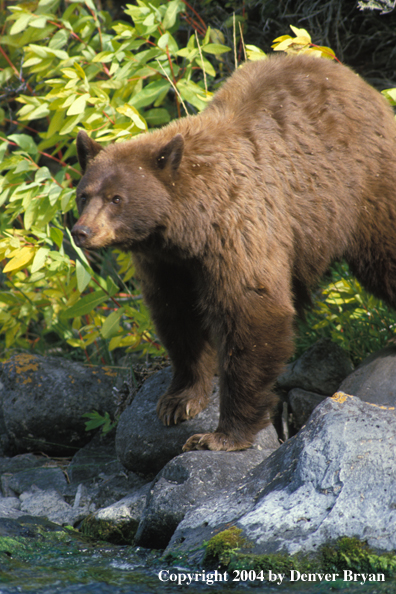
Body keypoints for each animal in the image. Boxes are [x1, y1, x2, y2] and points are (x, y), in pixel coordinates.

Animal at [72, 54, 396, 448]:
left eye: (117, 198)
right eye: (84, 194)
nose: (83, 231)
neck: (187, 227)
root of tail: (361, 84)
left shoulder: (237, 228)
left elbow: (251, 311)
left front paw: (221, 434)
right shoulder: (165, 262)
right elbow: (177, 316)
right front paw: (179, 400)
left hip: (364, 187)